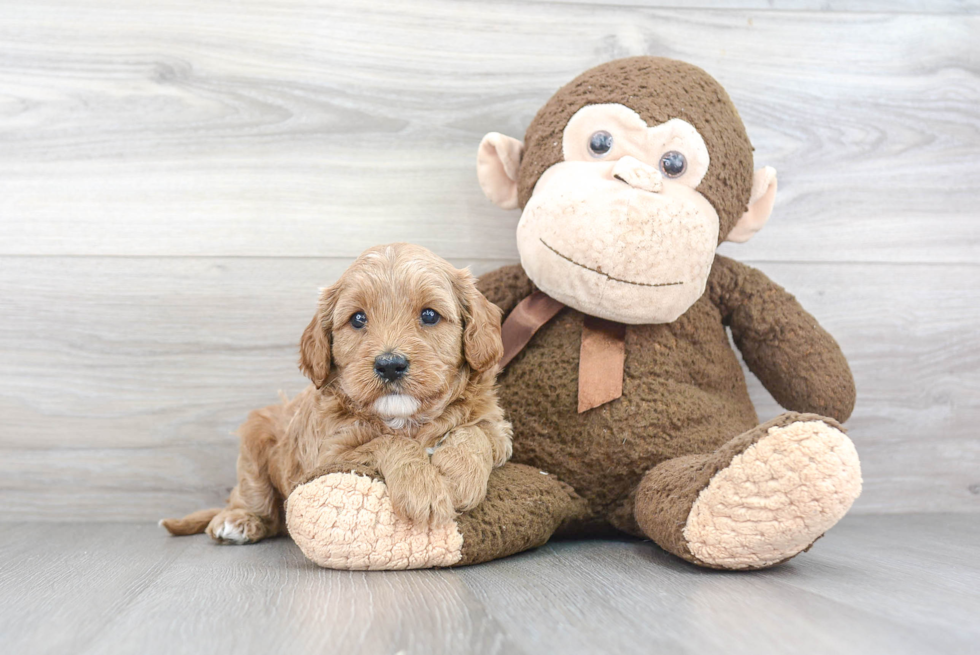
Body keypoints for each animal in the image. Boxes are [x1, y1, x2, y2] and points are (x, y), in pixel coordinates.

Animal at [159, 243, 512, 544]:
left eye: (429, 315)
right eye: (358, 319)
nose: (390, 365)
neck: (404, 418)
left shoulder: (497, 427)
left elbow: (474, 432)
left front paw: (460, 476)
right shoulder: (329, 455)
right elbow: (388, 442)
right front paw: (421, 489)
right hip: (255, 440)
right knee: (256, 502)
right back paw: (237, 520)